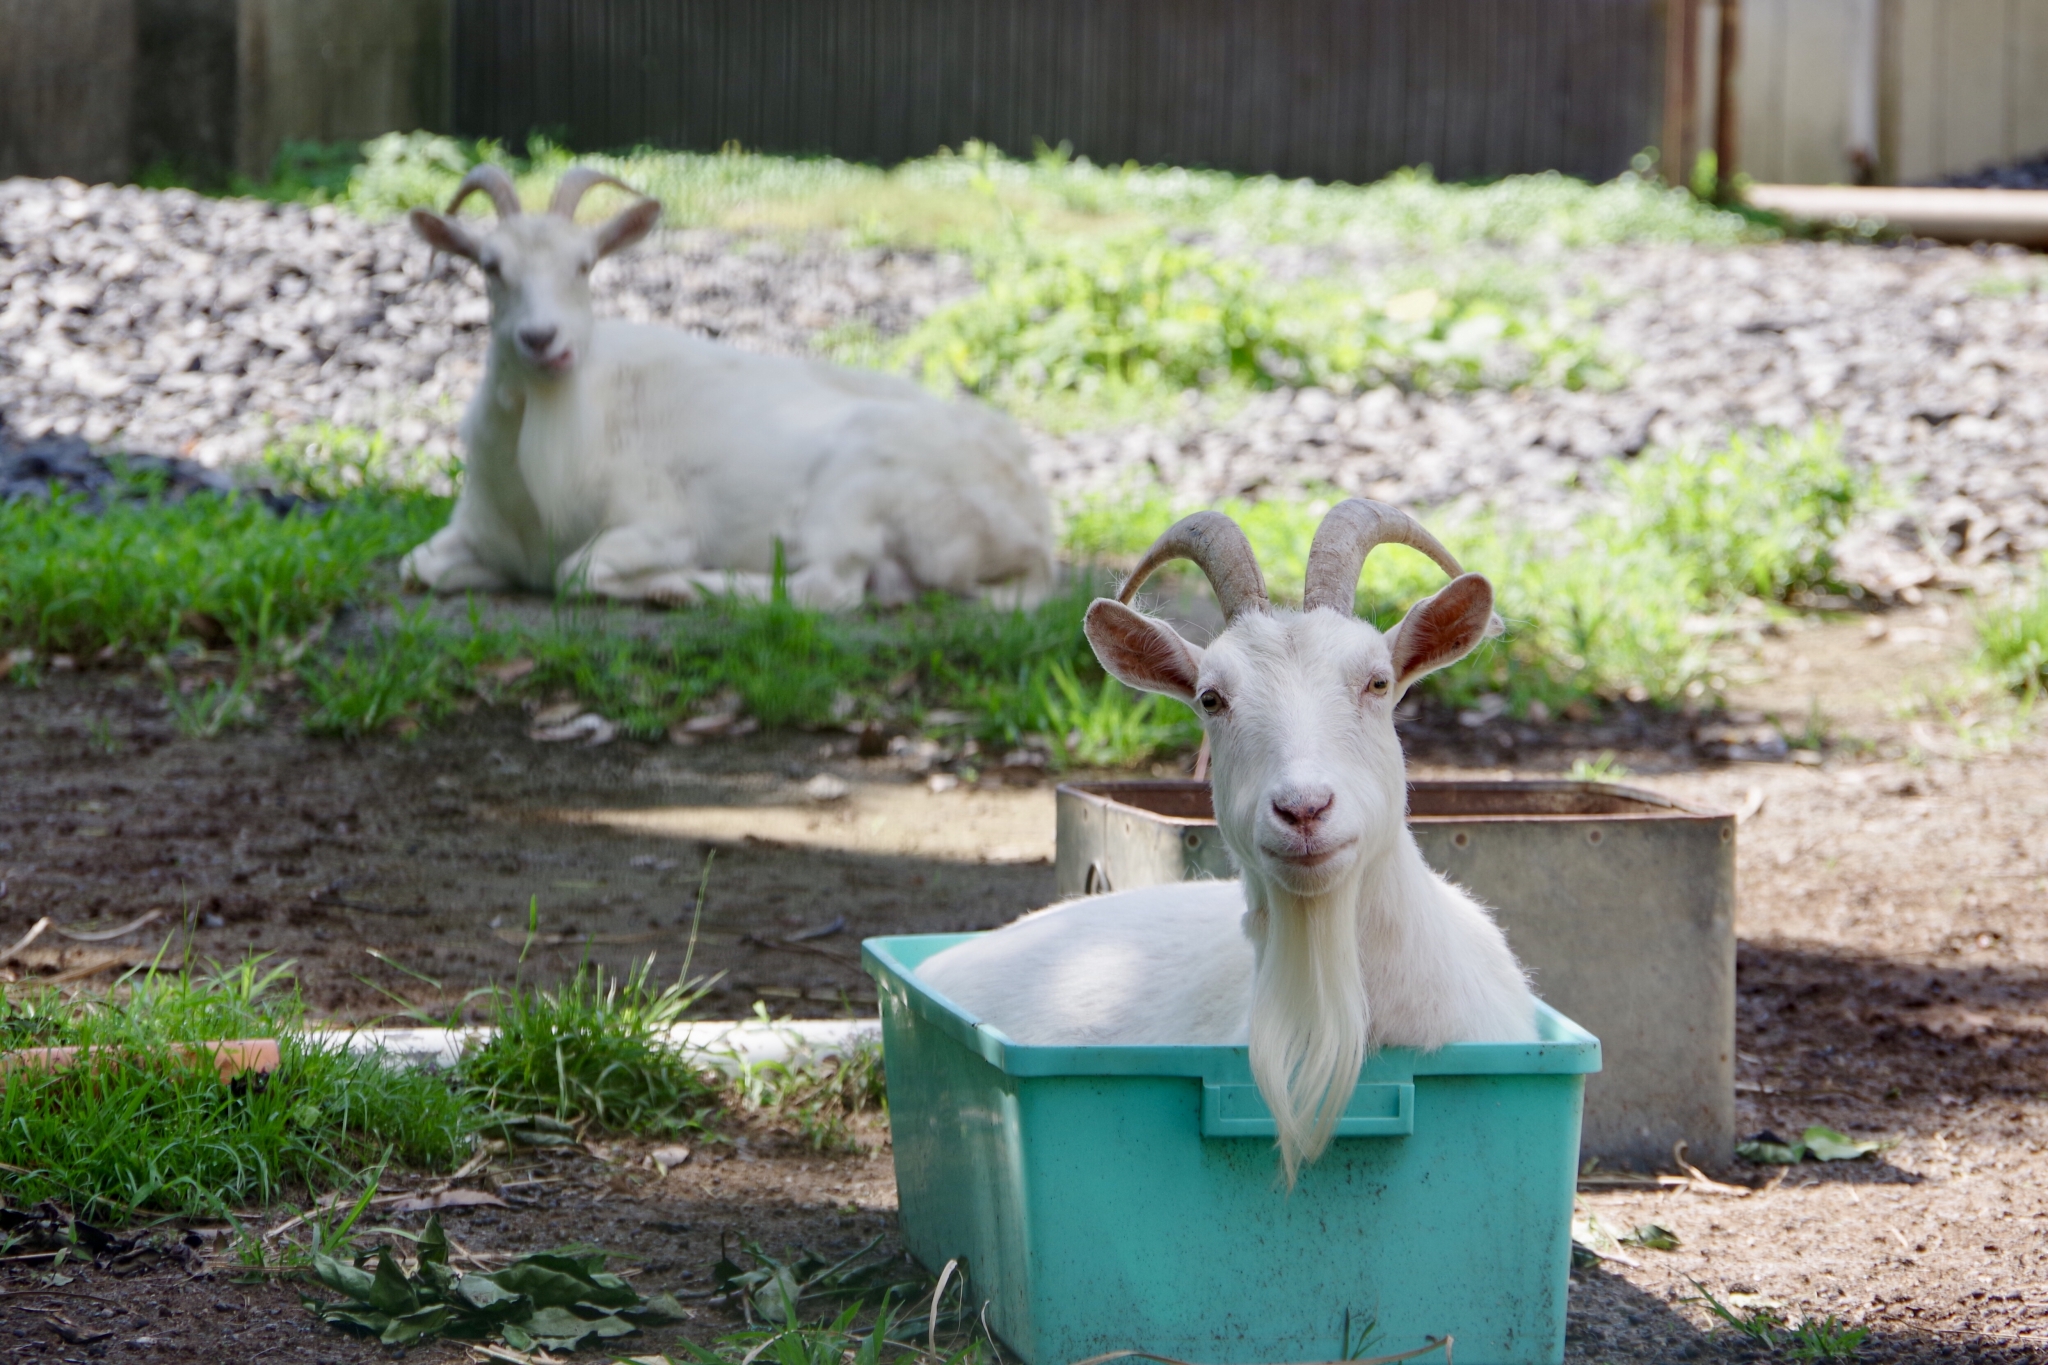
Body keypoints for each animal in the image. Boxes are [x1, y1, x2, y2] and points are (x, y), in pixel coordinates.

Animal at [395, 167, 1056, 605]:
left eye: (584, 264)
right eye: (490, 266)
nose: (541, 339)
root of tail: (1033, 527)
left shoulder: (657, 522)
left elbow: (576, 572)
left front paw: (662, 579)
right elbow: (416, 566)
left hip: (861, 487)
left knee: (829, 586)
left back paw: (685, 588)